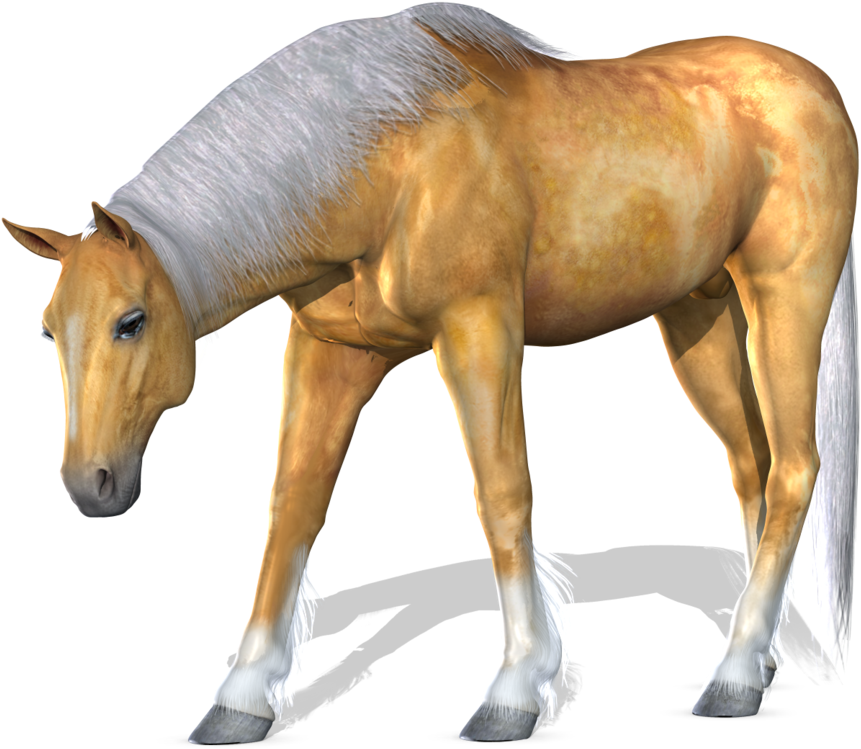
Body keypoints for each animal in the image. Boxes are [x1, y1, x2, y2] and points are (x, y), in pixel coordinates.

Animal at [5, 3, 857, 742]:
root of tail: (811, 82)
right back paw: (754, 658)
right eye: (47, 332)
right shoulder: (329, 351)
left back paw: (733, 677)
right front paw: (242, 695)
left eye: (130, 321)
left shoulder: (478, 328)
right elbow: (293, 505)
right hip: (695, 321)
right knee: (750, 464)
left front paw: (515, 689)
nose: (90, 483)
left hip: (783, 301)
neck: (389, 158)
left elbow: (500, 493)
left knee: (792, 467)